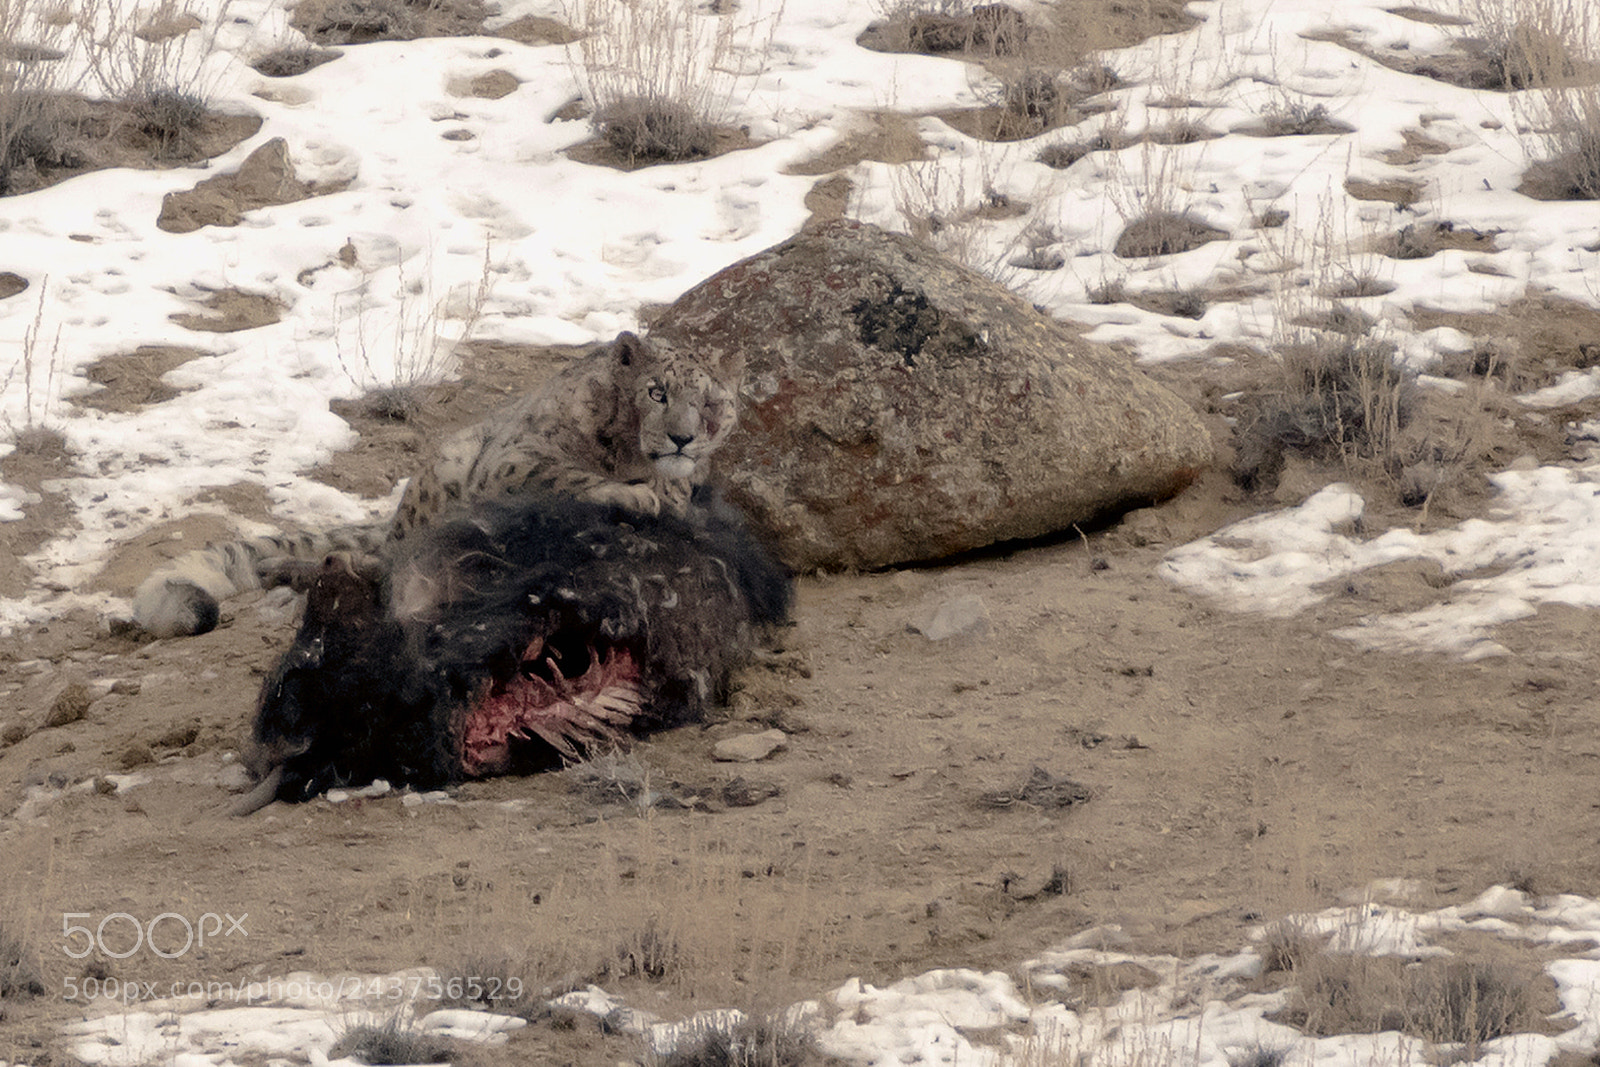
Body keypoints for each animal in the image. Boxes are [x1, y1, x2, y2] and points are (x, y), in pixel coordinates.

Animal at [131, 330, 742, 639]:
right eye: (657, 391)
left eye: (713, 402)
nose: (683, 438)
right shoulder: (513, 458)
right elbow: (562, 471)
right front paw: (633, 492)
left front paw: (659, 492)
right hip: (447, 468)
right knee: (392, 557)